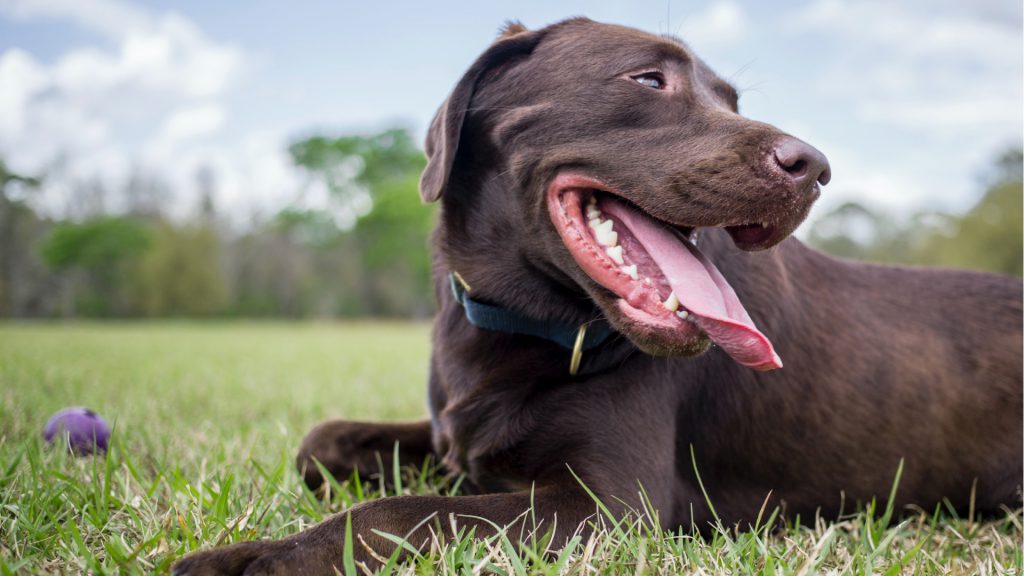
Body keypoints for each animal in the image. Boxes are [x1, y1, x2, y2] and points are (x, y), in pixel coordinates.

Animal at [174, 17, 1015, 573]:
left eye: (732, 99)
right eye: (648, 79)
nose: (813, 167)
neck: (521, 322)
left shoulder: (606, 506)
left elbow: (400, 513)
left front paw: (257, 558)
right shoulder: (456, 440)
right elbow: (324, 442)